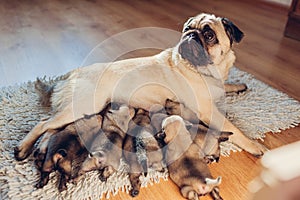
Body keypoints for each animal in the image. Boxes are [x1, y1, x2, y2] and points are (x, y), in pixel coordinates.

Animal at [15, 12, 266, 161]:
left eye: (208, 34)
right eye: (188, 29)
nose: (191, 36)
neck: (206, 70)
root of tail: (74, 72)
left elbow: (226, 86)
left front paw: (236, 85)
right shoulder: (209, 111)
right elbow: (235, 130)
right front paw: (253, 145)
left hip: (80, 110)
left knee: (51, 127)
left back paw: (39, 148)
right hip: (86, 105)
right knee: (43, 123)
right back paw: (22, 149)